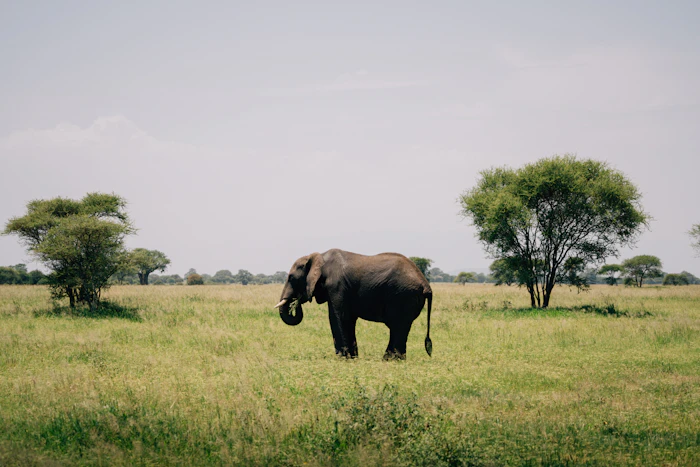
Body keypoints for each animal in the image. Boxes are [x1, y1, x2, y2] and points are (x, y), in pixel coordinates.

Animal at [275, 249, 433, 360]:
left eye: (291, 278)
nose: (295, 302)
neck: (318, 256)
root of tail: (426, 284)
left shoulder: (337, 286)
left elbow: (338, 317)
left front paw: (344, 359)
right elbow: (348, 319)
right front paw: (353, 358)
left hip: (403, 296)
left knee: (398, 327)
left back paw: (390, 360)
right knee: (400, 328)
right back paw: (391, 360)